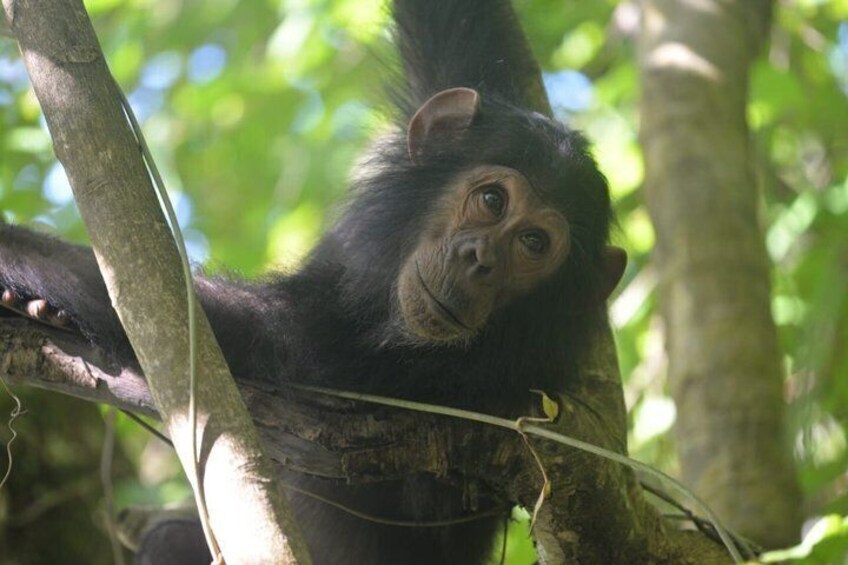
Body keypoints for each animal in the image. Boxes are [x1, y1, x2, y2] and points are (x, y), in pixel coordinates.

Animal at [0, 0, 626, 563]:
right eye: (493, 201)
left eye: (534, 244)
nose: (481, 259)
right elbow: (463, 27)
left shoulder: (360, 363)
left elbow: (201, 325)